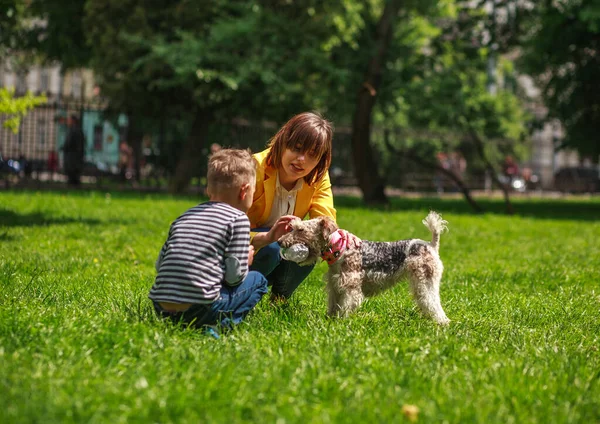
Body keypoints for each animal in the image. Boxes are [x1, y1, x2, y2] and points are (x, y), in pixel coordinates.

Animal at [278, 212, 450, 324]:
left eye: (301, 229)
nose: (279, 241)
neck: (339, 250)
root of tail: (431, 245)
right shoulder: (335, 285)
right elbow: (334, 306)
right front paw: (330, 321)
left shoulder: (350, 288)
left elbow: (345, 307)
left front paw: (340, 323)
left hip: (425, 281)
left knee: (432, 302)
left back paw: (442, 323)